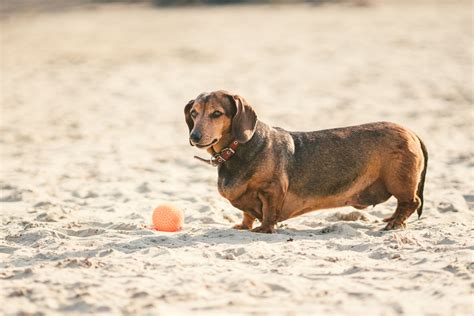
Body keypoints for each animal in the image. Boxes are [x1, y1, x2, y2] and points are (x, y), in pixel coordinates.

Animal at [183, 90, 428, 233]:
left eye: (216, 113)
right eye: (194, 113)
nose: (194, 137)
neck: (237, 149)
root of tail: (412, 132)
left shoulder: (272, 190)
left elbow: (269, 213)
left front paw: (264, 229)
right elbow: (247, 214)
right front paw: (243, 226)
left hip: (399, 181)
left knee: (411, 202)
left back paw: (395, 223)